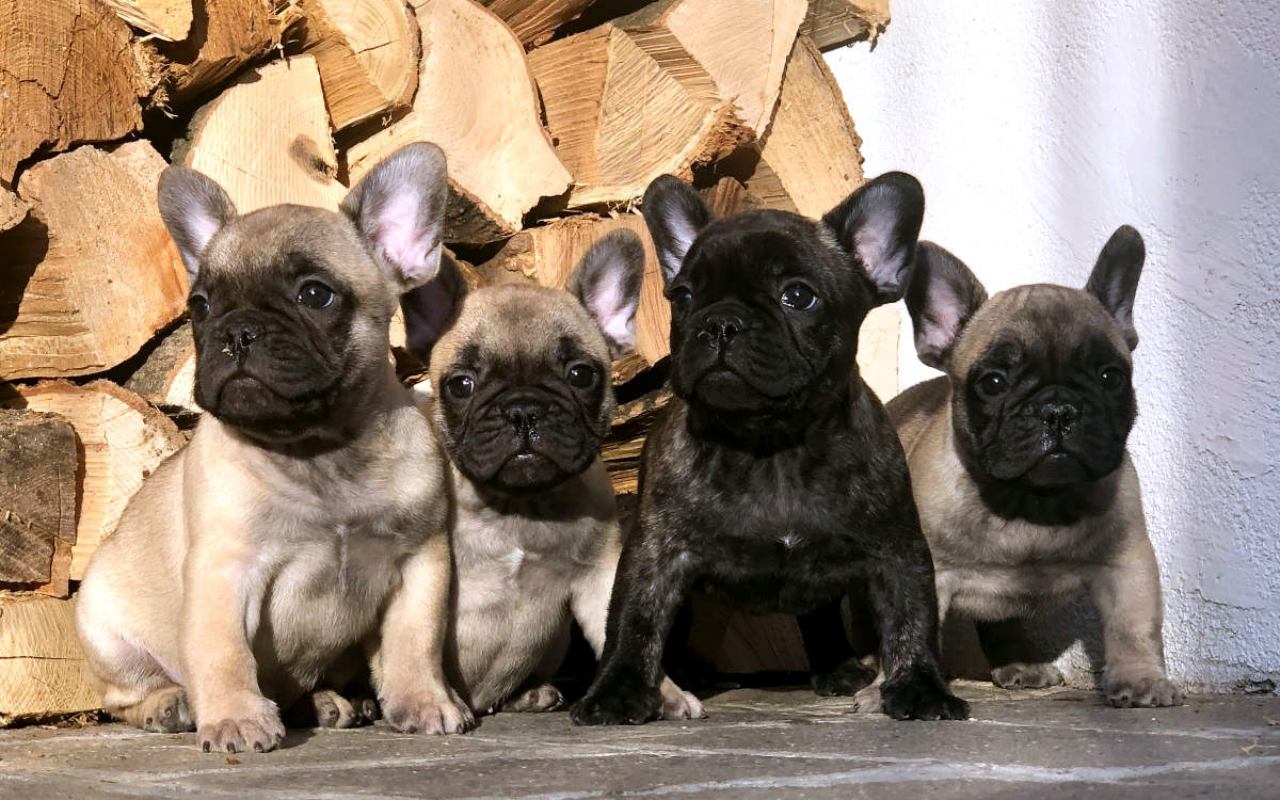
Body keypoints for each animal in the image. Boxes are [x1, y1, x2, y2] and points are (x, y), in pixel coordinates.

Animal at [74, 142, 476, 747]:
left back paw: (327, 701)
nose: (236, 331)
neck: (319, 447)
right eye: (200, 306)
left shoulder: (419, 563)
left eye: (315, 294)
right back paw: (169, 705)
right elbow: (223, 653)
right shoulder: (224, 568)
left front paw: (426, 701)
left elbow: (415, 643)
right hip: (107, 631)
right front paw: (236, 717)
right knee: (124, 696)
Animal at [414, 229, 701, 716]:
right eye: (461, 384)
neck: (518, 505)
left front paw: (662, 691)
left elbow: (626, 632)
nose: (523, 409)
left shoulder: (599, 580)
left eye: (580, 374)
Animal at [573, 171, 967, 721]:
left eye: (797, 296)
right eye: (684, 296)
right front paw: (617, 690)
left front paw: (921, 686)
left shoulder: (896, 548)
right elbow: (634, 619)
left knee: (820, 614)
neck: (771, 444)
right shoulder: (655, 552)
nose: (719, 322)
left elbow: (912, 615)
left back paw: (838, 667)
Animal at [890, 225, 1177, 706]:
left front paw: (1140, 679)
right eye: (993, 382)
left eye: (1111, 377)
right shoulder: (927, 573)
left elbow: (1133, 626)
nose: (1058, 410)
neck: (1031, 502)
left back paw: (1020, 663)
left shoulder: (1127, 561)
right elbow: (911, 629)